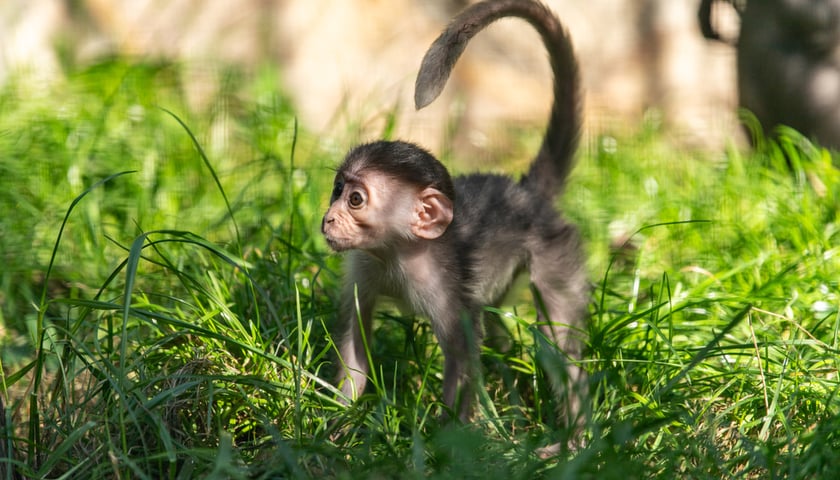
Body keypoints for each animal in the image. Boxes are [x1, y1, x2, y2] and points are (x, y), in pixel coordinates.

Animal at [324, 0, 592, 422]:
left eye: (355, 200)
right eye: (337, 191)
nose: (329, 218)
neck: (398, 252)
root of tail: (525, 194)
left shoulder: (443, 283)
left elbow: (463, 360)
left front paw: (447, 437)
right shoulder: (363, 266)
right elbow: (355, 344)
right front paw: (336, 423)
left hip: (555, 252)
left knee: (559, 342)